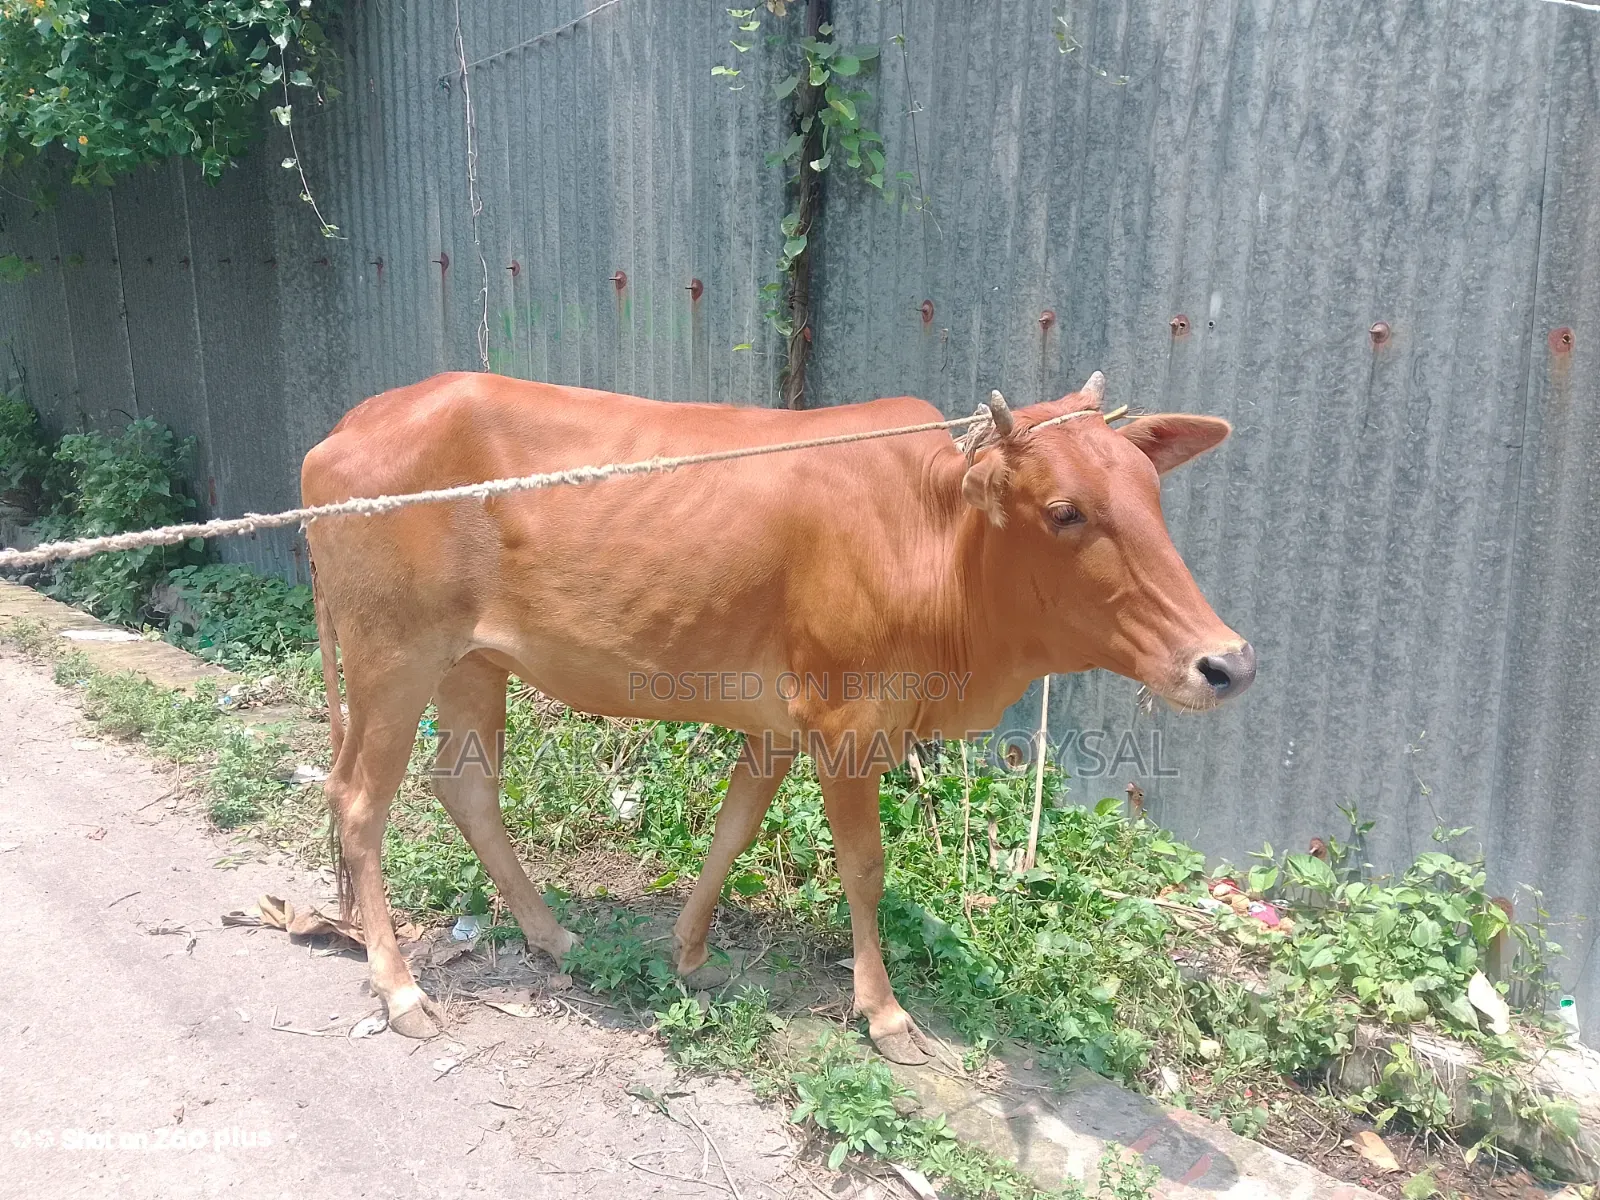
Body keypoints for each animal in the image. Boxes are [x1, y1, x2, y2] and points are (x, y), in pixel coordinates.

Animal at [302, 370, 1254, 1064]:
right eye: (1064, 511)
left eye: (1150, 494)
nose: (1228, 663)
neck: (934, 537)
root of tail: (344, 428)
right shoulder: (848, 729)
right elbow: (864, 870)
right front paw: (885, 1014)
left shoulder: (777, 728)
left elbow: (732, 830)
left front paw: (687, 953)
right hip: (394, 658)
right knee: (359, 802)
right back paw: (400, 988)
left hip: (472, 664)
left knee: (464, 790)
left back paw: (551, 934)